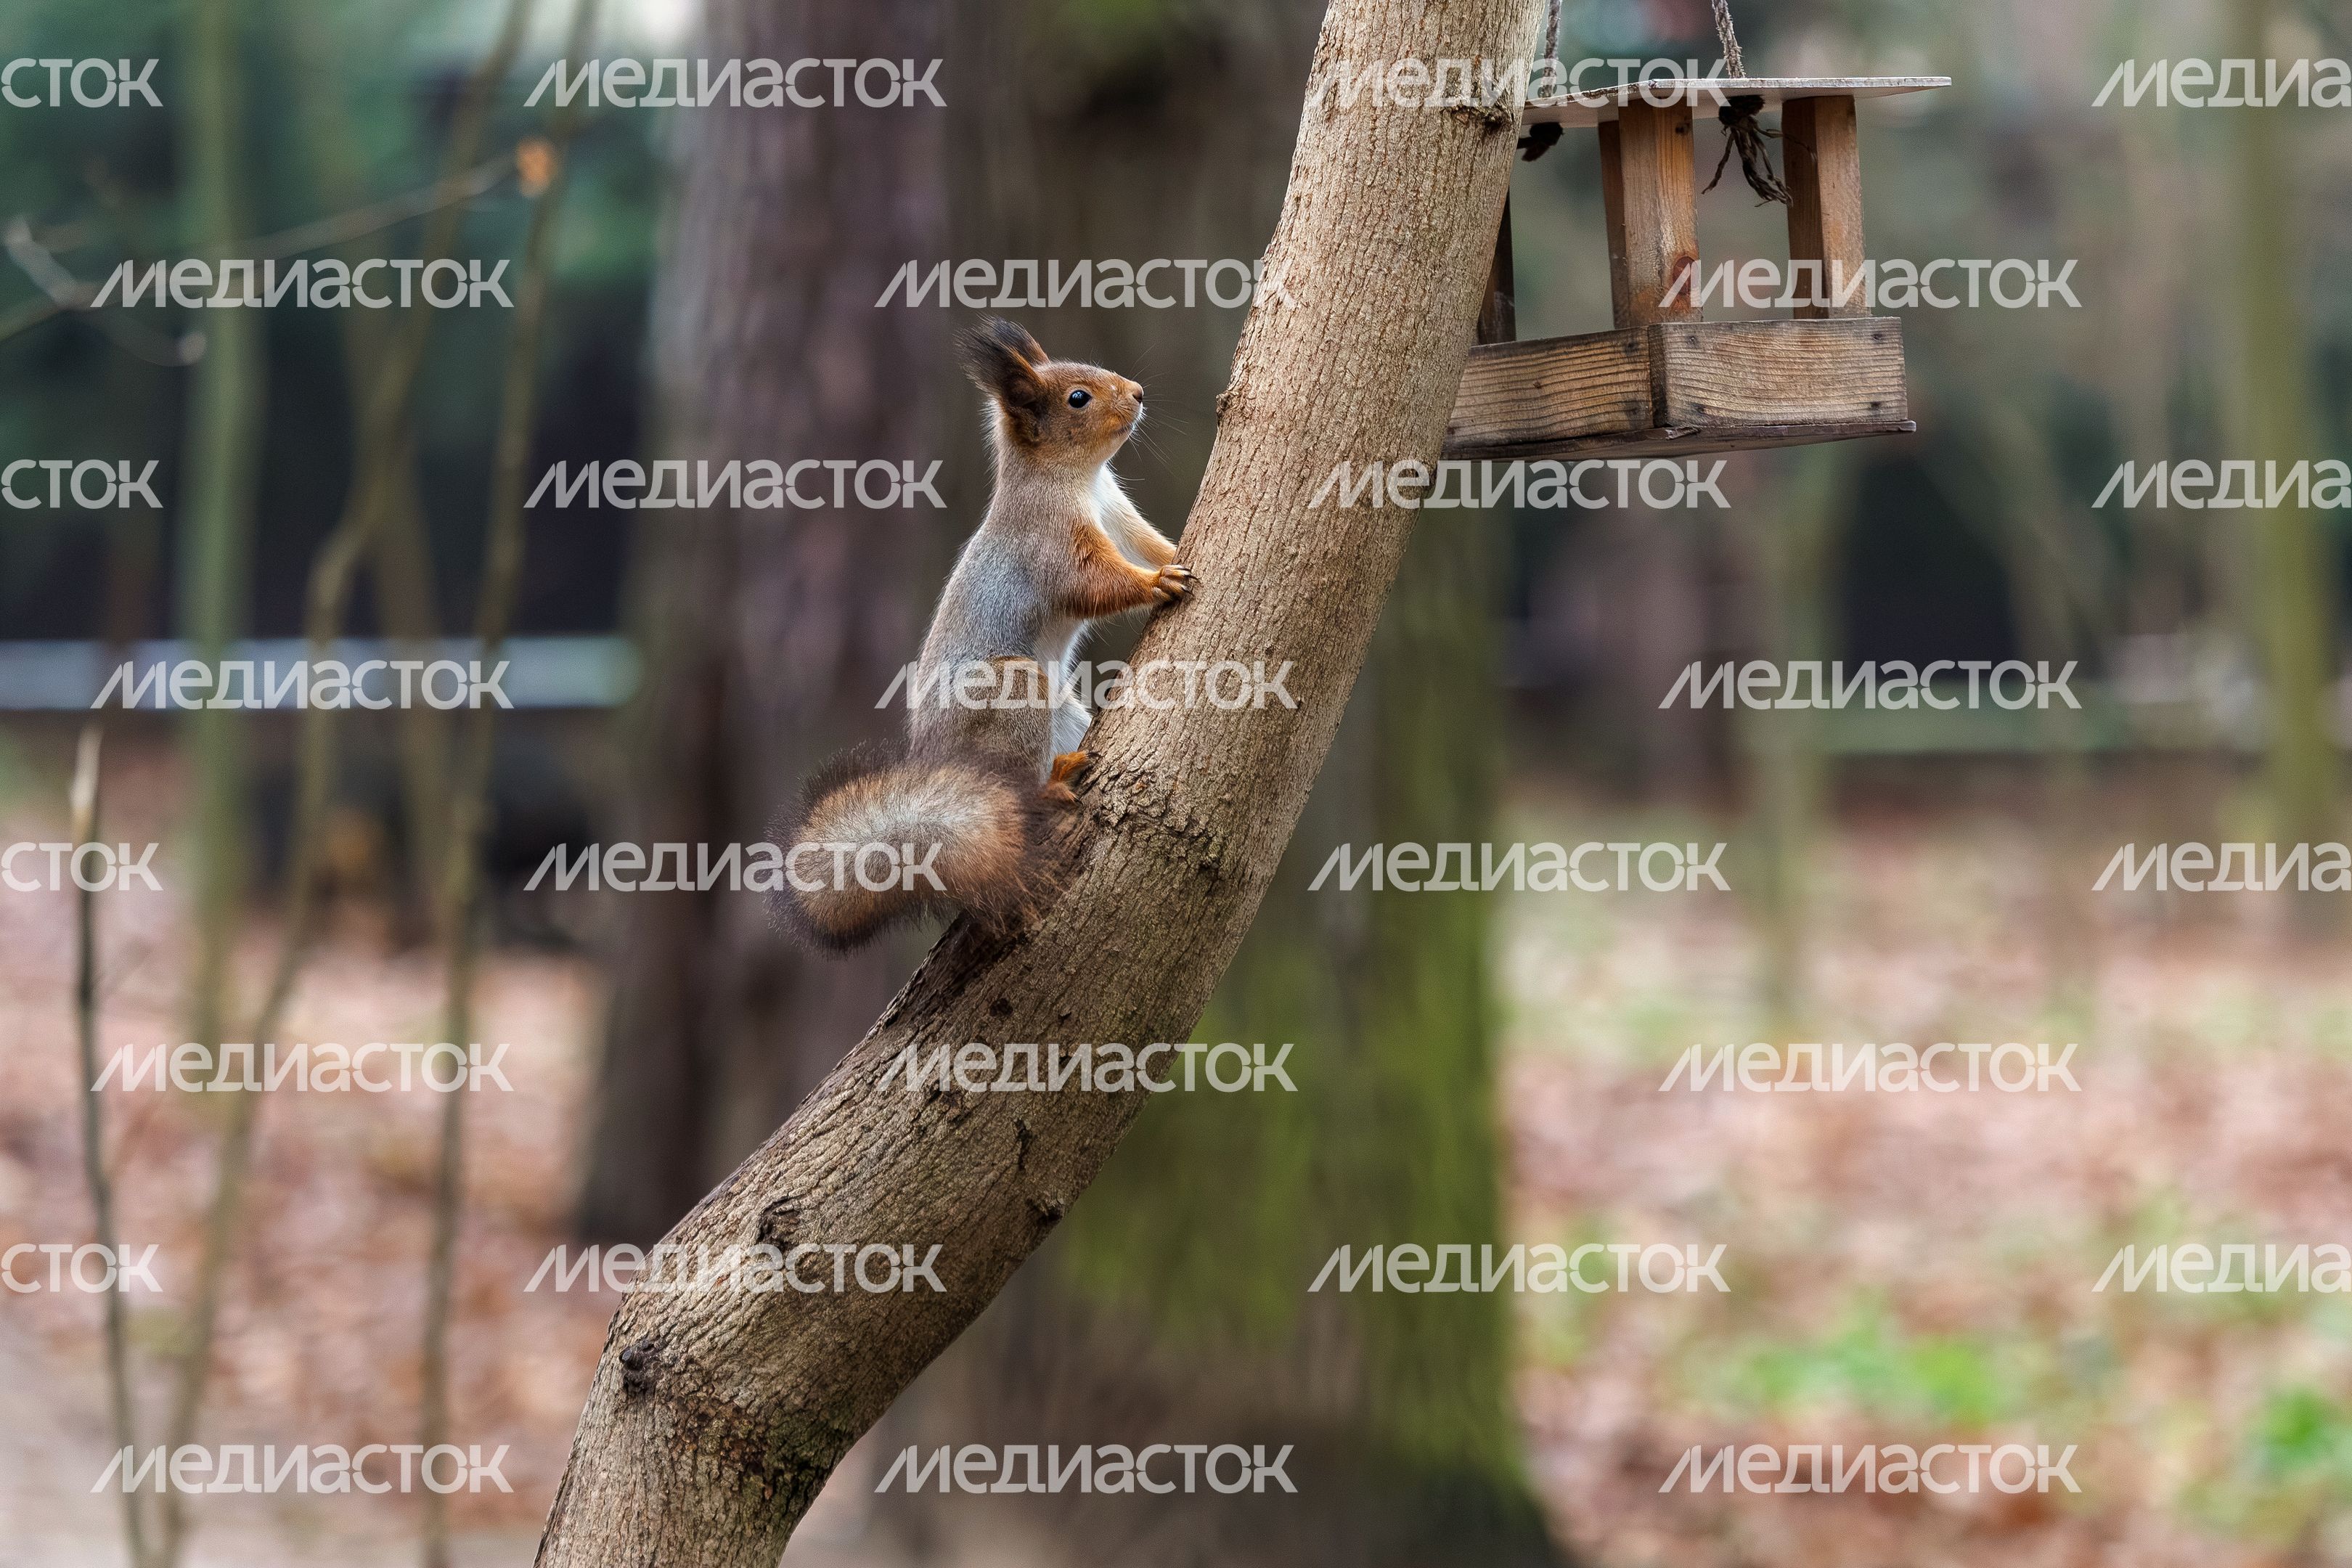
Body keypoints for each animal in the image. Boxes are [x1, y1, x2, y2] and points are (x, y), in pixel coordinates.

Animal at [777, 317, 1194, 951]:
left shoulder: (1118, 514)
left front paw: (1169, 559)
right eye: (1078, 399)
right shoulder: (1050, 542)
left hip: (1060, 713)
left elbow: (1150, 543)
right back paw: (1049, 785)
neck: (1078, 479)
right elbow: (1094, 585)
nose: (1139, 393)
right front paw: (1156, 583)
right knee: (1019, 794)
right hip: (1012, 694)